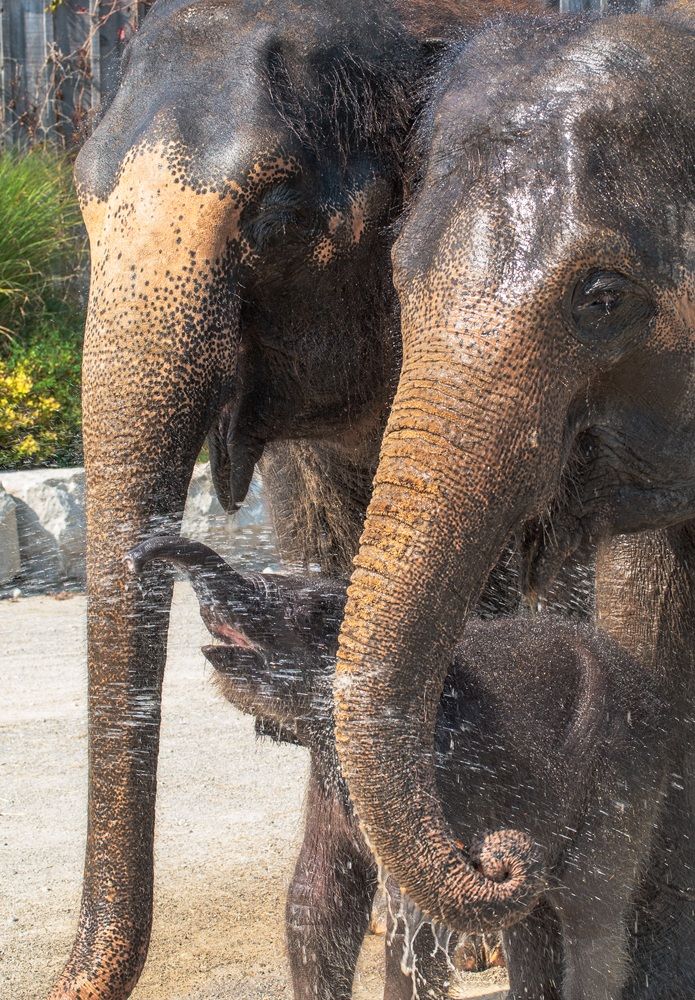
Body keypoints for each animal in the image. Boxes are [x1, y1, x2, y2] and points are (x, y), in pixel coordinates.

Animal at [126, 534, 670, 1000]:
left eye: (316, 612)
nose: (137, 557)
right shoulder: (331, 775)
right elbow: (317, 898)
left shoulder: (444, 775)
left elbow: (416, 920)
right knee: (531, 921)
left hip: (623, 769)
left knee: (589, 912)